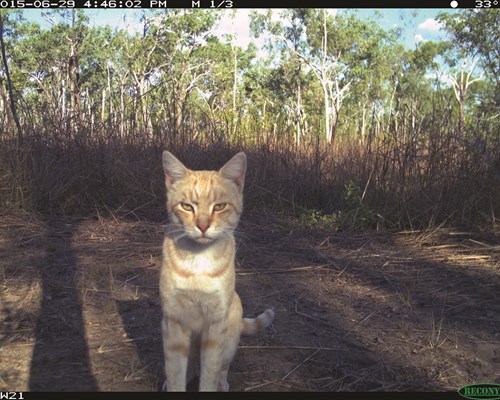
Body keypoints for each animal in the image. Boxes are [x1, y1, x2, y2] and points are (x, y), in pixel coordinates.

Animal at [159, 151, 274, 390]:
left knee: (222, 368)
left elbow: (210, 374)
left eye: (219, 207)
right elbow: (175, 373)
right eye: (187, 207)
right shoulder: (173, 322)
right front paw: (174, 381)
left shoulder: (215, 327)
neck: (199, 259)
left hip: (230, 335)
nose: (203, 226)